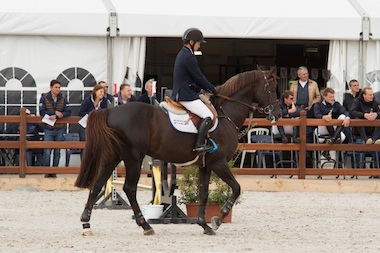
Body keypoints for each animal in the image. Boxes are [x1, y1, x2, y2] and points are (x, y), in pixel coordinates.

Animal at [75, 66, 280, 235]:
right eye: (271, 89)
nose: (278, 114)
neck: (225, 115)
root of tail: (111, 111)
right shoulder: (219, 163)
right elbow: (237, 188)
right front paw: (217, 220)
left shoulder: (205, 166)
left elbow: (203, 193)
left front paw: (204, 224)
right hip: (133, 157)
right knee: (129, 188)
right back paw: (145, 225)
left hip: (114, 156)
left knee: (97, 184)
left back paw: (86, 224)